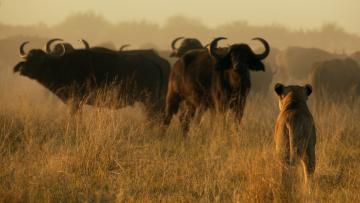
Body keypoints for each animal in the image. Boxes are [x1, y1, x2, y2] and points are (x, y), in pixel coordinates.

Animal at [13, 40, 170, 116]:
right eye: (27, 58)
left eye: (39, 59)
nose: (22, 69)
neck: (62, 65)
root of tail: (155, 61)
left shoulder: (75, 101)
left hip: (150, 100)